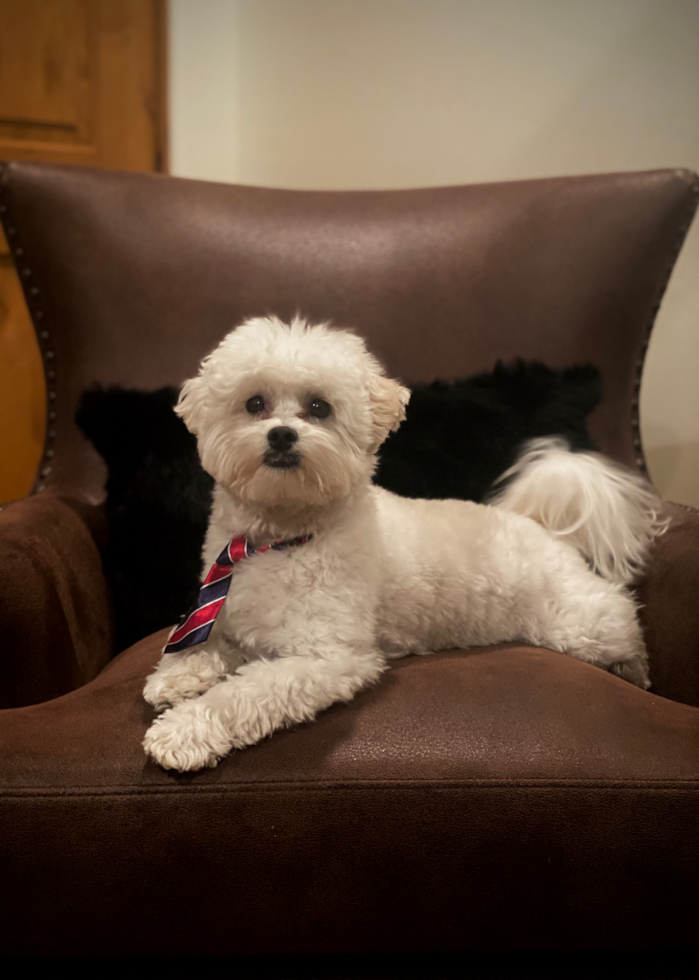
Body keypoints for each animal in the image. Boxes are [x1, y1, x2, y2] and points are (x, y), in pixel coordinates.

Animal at [141, 318, 668, 768]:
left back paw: (635, 672)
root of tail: (538, 525)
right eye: (254, 404)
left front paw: (183, 731)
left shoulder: (325, 657)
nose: (282, 435)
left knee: (623, 616)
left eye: (319, 407)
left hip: (579, 625)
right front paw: (178, 674)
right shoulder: (237, 623)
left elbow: (242, 695)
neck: (280, 539)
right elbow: (208, 644)